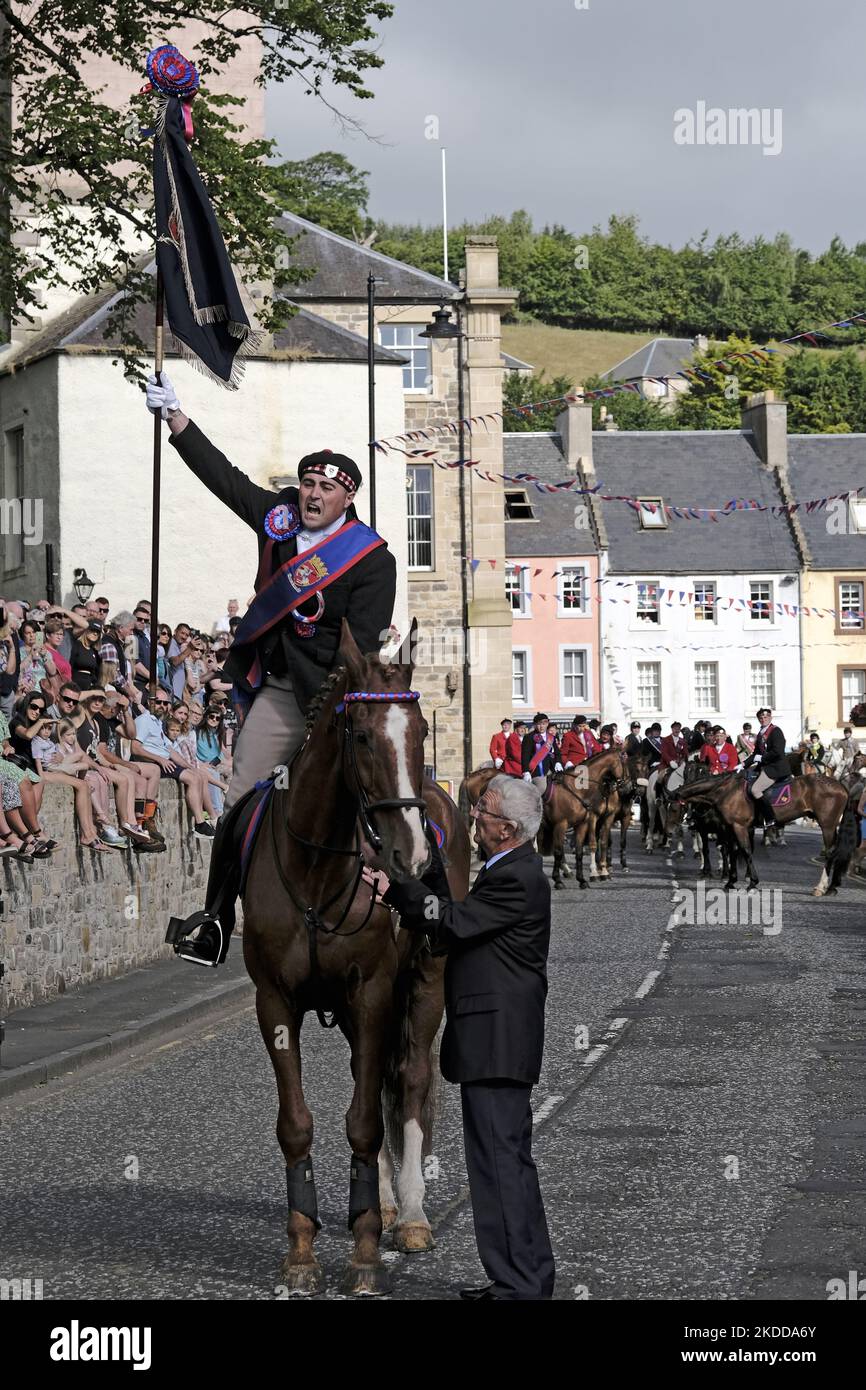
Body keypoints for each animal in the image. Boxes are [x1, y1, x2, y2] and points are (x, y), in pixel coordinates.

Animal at [240, 625, 469, 1295]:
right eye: (362, 735)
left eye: (421, 734)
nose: (411, 855)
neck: (318, 868)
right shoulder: (276, 1001)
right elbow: (299, 1123)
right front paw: (301, 1252)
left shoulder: (373, 991)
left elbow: (367, 1119)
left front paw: (366, 1254)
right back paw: (388, 1202)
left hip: (424, 983)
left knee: (411, 1079)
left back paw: (410, 1214)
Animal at [678, 767, 856, 895]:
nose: (690, 821)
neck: (727, 789)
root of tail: (841, 786)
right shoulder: (732, 828)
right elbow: (734, 851)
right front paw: (731, 882)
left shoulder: (738, 826)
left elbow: (745, 851)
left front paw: (752, 883)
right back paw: (832, 887)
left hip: (827, 825)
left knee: (831, 853)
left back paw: (821, 887)